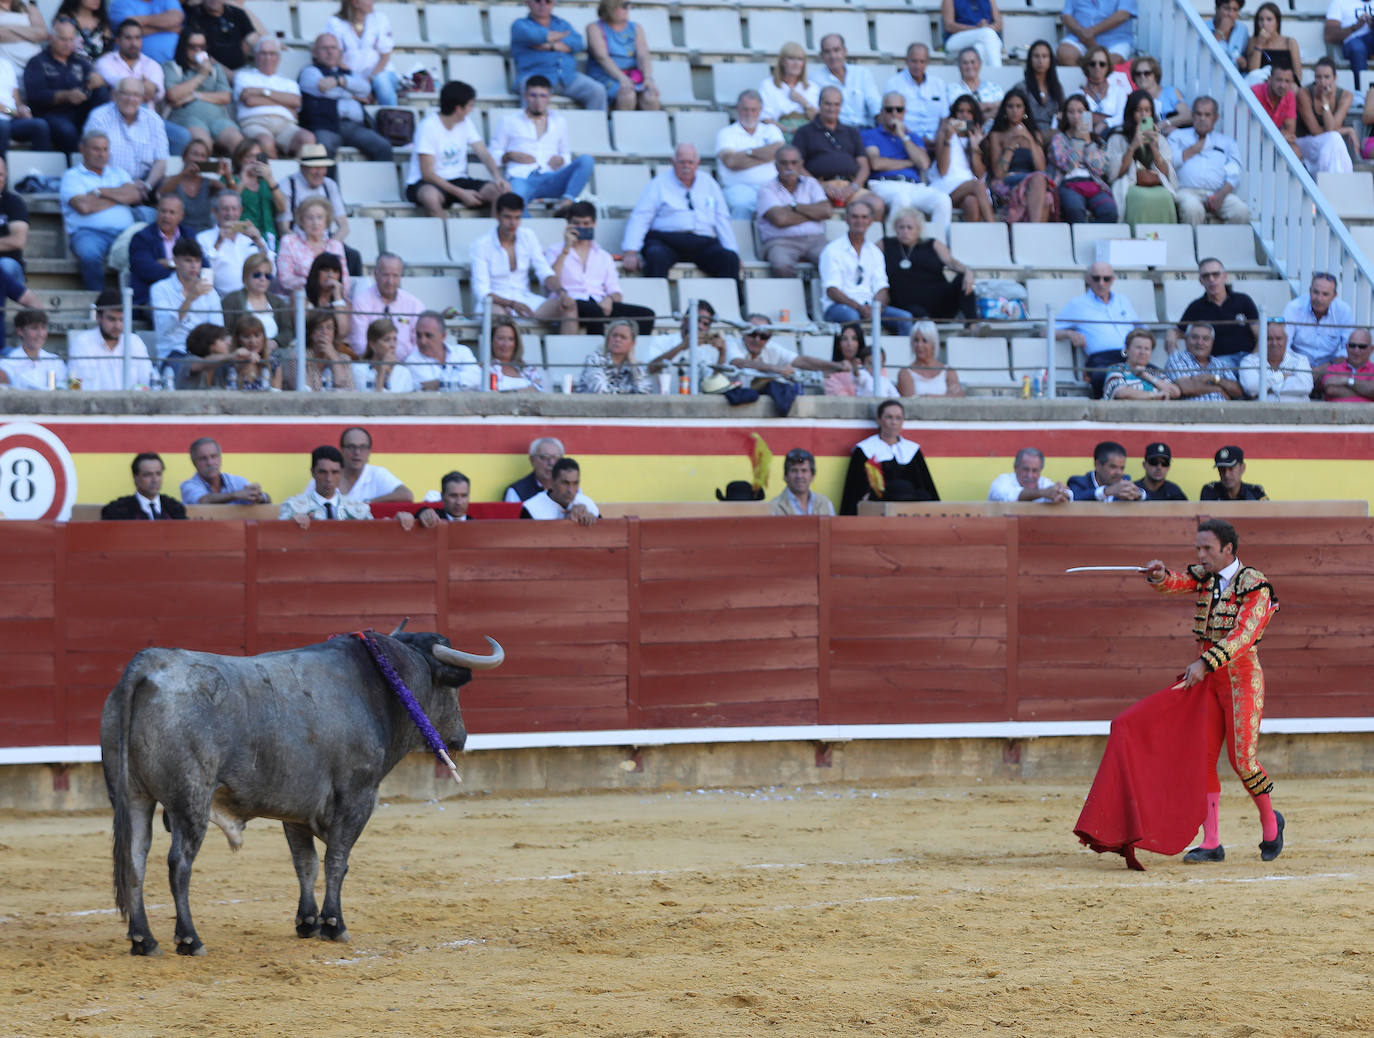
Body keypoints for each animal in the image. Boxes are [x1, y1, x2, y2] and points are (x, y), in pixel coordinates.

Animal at [100, 624, 505, 956]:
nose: (460, 738)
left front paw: (307, 922)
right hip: (191, 800)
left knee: (134, 859)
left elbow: (305, 863)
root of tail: (147, 665)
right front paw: (333, 924)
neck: (379, 685)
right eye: (452, 688)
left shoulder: (295, 809)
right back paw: (189, 939)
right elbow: (336, 860)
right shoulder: (358, 796)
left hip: (132, 798)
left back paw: (144, 940)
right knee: (178, 863)